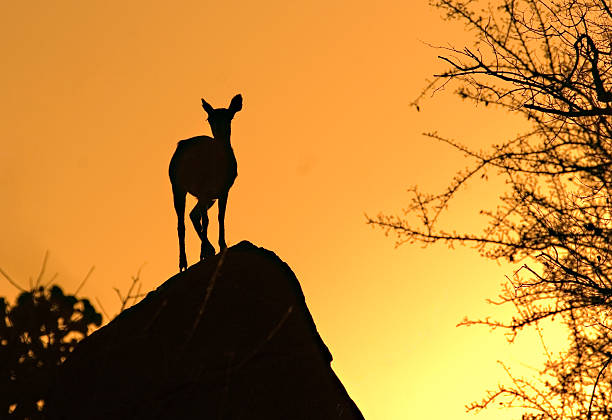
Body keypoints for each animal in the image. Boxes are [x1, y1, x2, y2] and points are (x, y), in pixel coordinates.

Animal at [170, 94, 244, 270]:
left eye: (229, 116)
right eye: (209, 118)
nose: (220, 131)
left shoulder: (224, 190)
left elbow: (220, 216)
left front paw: (222, 245)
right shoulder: (202, 188)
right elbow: (207, 220)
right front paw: (203, 252)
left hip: (206, 196)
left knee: (192, 214)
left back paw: (208, 249)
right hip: (177, 185)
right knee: (181, 223)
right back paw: (183, 262)